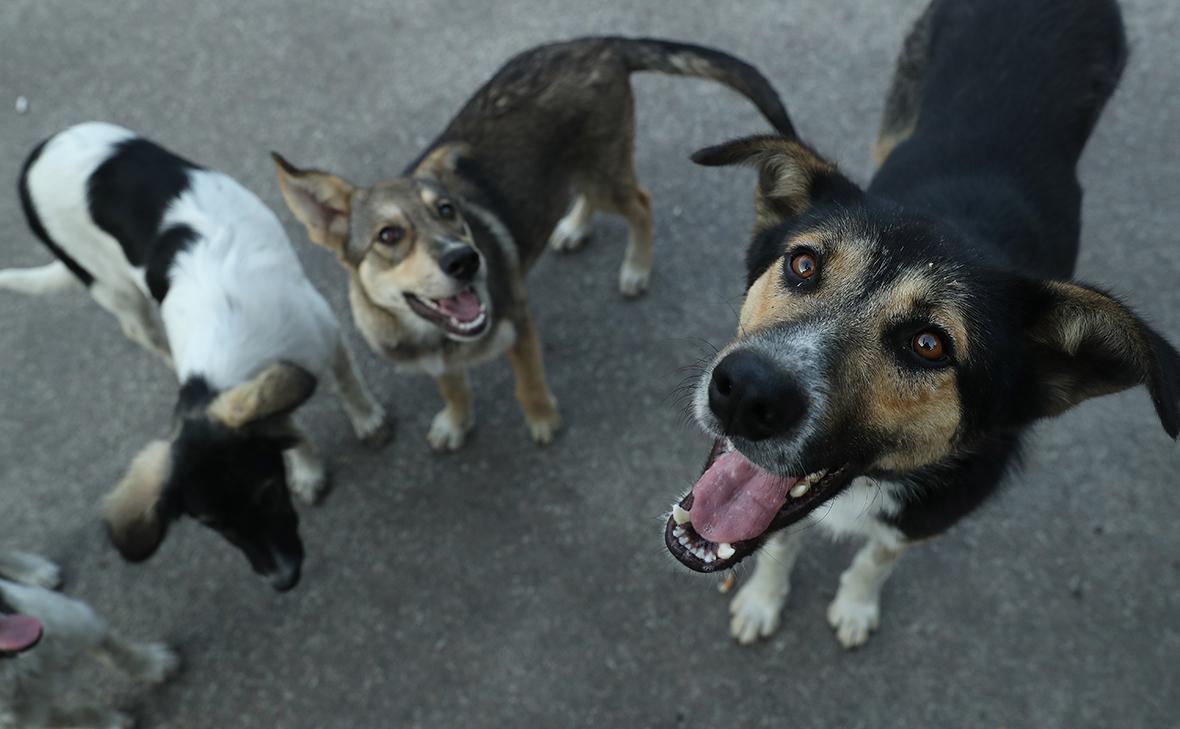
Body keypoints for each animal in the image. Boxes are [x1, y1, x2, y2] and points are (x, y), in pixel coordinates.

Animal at [1, 549, 176, 726]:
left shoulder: (73, 620)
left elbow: (116, 651)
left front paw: (153, 663)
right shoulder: (33, 719)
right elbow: (76, 716)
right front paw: (109, 722)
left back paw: (36, 570)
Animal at [2, 123, 394, 589]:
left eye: (268, 494)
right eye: (212, 524)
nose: (282, 580)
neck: (224, 363)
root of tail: (34, 158)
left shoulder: (323, 330)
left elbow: (346, 381)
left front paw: (367, 420)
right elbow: (288, 423)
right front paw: (307, 466)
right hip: (114, 292)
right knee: (143, 332)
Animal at [271, 38, 797, 452]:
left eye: (448, 211)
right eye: (389, 235)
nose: (467, 261)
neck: (435, 332)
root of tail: (600, 44)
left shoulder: (519, 324)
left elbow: (528, 383)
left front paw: (543, 419)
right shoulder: (436, 358)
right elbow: (453, 388)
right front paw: (457, 422)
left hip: (603, 169)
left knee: (641, 204)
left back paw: (635, 267)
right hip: (576, 169)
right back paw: (573, 227)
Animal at [665, 0, 1180, 646]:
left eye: (929, 344)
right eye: (803, 264)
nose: (745, 392)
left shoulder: (926, 518)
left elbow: (877, 557)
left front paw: (855, 604)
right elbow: (779, 542)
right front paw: (763, 600)